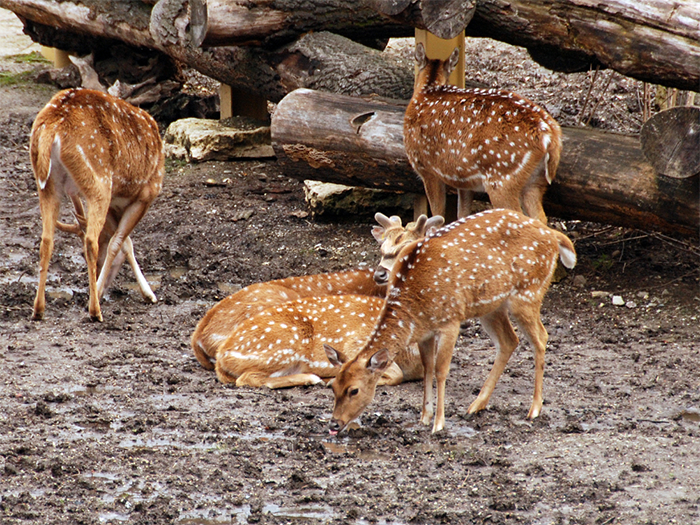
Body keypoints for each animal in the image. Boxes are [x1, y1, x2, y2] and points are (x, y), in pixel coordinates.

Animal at [29, 86, 163, 322]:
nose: (101, 275)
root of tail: (53, 126)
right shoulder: (147, 193)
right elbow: (119, 242)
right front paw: (147, 294)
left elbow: (125, 242)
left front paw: (147, 293)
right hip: (99, 182)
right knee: (90, 240)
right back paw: (95, 311)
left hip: (46, 182)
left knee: (46, 240)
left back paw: (38, 310)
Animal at [326, 209, 576, 434]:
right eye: (333, 386)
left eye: (354, 390)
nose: (334, 423)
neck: (415, 305)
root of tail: (553, 235)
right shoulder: (424, 332)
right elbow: (427, 368)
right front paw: (424, 417)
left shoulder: (450, 321)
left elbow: (440, 370)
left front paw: (438, 424)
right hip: (491, 306)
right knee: (509, 341)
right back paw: (476, 405)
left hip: (528, 293)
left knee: (541, 338)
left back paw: (534, 409)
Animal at [404, 41, 564, 221]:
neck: (425, 92)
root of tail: (550, 136)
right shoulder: (463, 180)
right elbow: (462, 213)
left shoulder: (426, 167)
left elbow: (437, 214)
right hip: (535, 181)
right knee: (540, 218)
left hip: (502, 178)